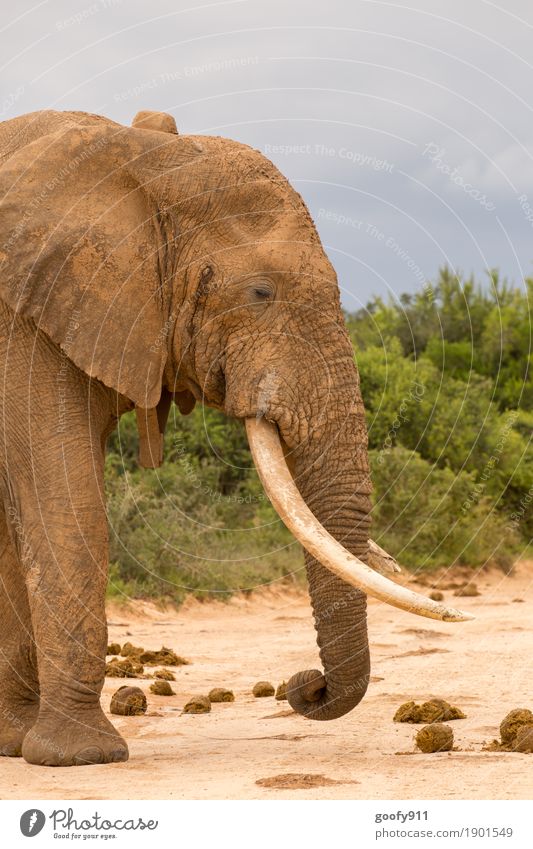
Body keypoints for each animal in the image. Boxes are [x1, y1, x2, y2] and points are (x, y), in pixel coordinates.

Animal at [0, 109, 468, 764]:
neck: (140, 157)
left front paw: (20, 744)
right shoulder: (26, 318)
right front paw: (81, 756)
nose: (305, 686)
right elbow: (64, 497)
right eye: (260, 293)